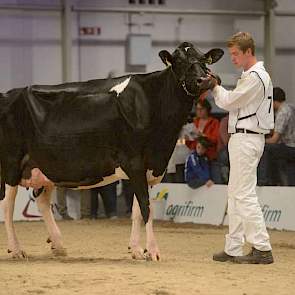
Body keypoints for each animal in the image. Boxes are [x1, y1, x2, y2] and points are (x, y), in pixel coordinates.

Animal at [0, 41, 224, 262]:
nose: (205, 79)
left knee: (42, 201)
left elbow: (136, 210)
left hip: (43, 166)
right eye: (178, 61)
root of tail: (7, 94)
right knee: (7, 206)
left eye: (204, 59)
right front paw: (152, 251)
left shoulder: (149, 168)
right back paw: (16, 249)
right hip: (11, 164)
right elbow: (146, 207)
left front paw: (136, 249)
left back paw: (58, 246)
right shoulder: (134, 162)